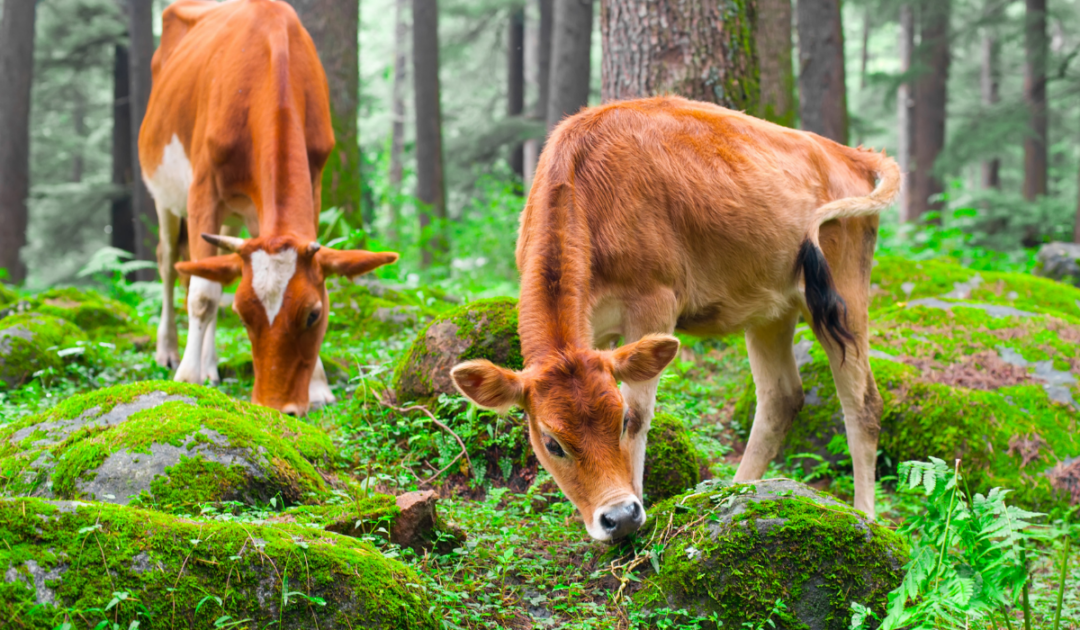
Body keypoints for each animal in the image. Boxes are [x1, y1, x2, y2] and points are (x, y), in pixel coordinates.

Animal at [139, 0, 398, 415]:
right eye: (243, 315)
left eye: (313, 314)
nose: (277, 409)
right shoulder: (202, 190)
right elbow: (202, 295)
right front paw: (187, 377)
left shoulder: (315, 178)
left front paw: (319, 384)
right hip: (164, 192)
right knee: (168, 263)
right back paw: (169, 351)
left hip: (235, 216)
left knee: (217, 270)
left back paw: (211, 365)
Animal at [450, 96, 900, 541]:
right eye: (552, 442)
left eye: (619, 422)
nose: (619, 515)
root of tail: (851, 154)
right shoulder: (592, 330)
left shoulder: (654, 304)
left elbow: (642, 407)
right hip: (771, 311)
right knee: (780, 397)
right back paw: (736, 490)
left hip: (840, 295)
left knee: (862, 402)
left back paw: (866, 516)